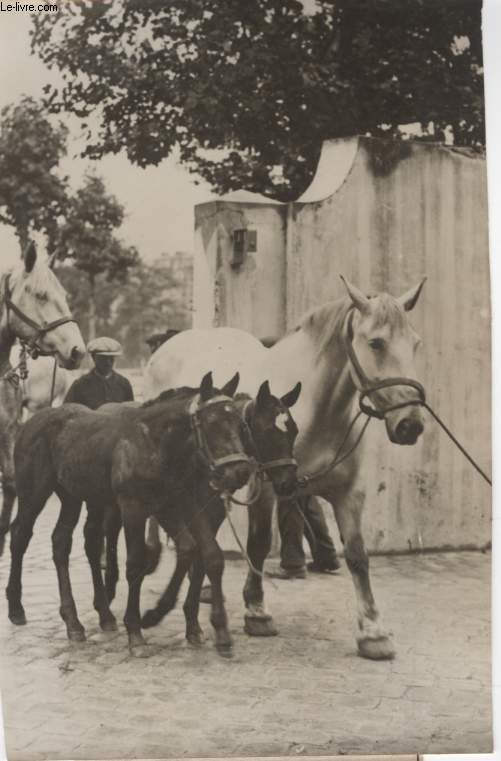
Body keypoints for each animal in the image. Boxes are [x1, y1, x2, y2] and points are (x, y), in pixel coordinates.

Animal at [144, 278, 426, 660]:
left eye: (415, 343)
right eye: (376, 343)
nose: (410, 425)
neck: (315, 411)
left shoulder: (349, 493)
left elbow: (357, 555)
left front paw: (373, 631)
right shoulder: (265, 486)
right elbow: (259, 543)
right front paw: (256, 611)